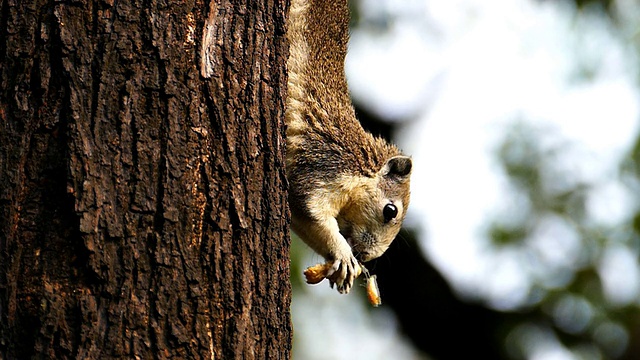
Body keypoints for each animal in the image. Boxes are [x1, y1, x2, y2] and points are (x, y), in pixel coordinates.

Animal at [286, 0, 416, 296]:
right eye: (390, 211)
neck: (358, 164)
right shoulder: (323, 167)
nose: (367, 256)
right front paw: (344, 255)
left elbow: (300, 219)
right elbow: (311, 210)